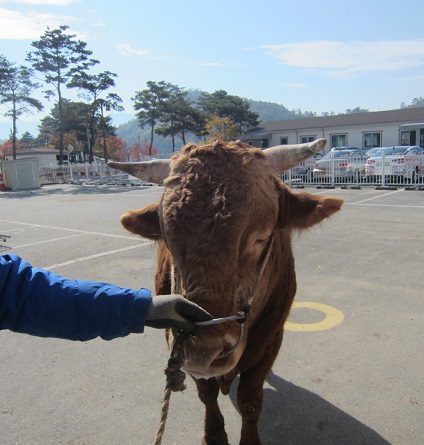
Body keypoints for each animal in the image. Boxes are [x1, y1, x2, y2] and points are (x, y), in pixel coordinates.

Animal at [107, 140, 342, 444]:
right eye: (168, 239)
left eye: (261, 237)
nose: (204, 352)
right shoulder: (178, 341)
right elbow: (207, 393)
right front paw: (215, 433)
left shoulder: (272, 338)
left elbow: (250, 400)